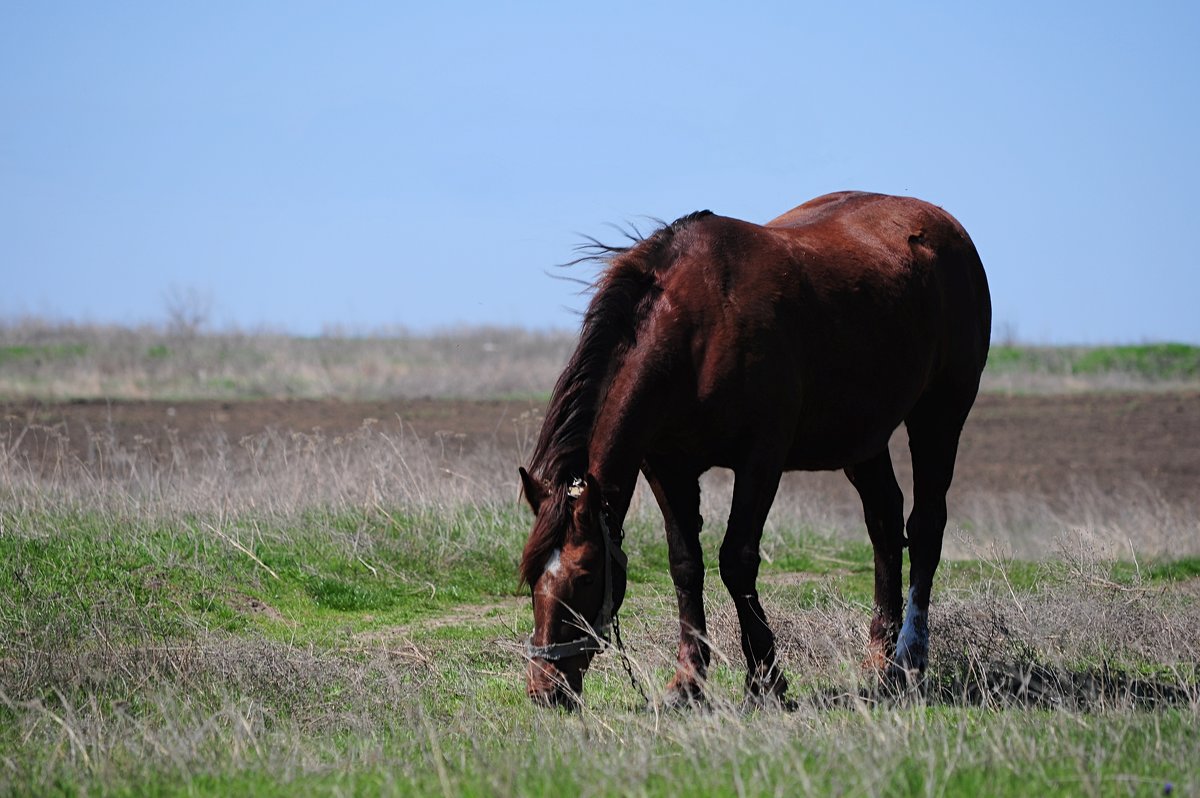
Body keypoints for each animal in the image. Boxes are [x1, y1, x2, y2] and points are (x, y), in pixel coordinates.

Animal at [520, 189, 988, 705]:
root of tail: (947, 227)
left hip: (940, 415)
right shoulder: (665, 465)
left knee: (925, 527)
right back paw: (877, 660)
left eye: (584, 577)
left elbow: (736, 561)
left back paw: (909, 657)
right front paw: (688, 681)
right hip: (862, 439)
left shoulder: (761, 458)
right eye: (532, 578)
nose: (544, 688)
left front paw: (766, 678)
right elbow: (685, 564)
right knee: (884, 525)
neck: (695, 330)